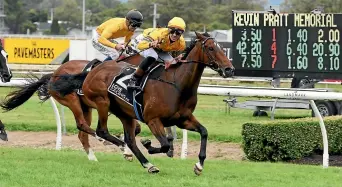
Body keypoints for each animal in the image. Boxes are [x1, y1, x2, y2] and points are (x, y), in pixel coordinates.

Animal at [49, 31, 234, 175]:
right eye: (211, 48)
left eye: (222, 48)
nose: (229, 69)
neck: (177, 84)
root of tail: (91, 71)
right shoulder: (153, 120)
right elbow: (164, 145)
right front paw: (149, 144)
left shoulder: (182, 119)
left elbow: (204, 132)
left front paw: (199, 165)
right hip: (100, 102)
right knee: (100, 130)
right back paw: (124, 150)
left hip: (123, 113)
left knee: (129, 139)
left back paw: (147, 164)